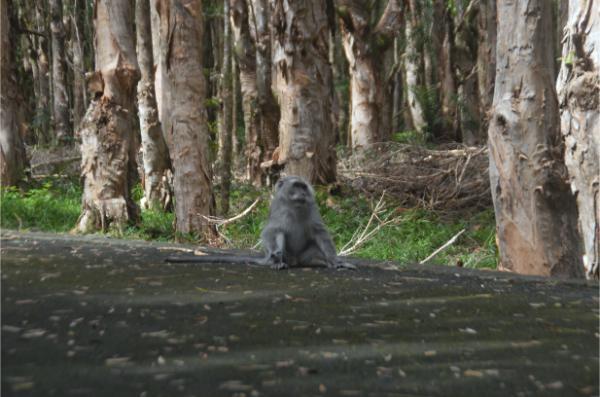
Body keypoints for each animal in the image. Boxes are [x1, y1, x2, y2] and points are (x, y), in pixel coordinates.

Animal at [165, 176, 356, 270]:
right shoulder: (280, 212)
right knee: (279, 238)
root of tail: (295, 261)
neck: (295, 206)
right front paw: (276, 254)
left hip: (303, 257)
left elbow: (320, 233)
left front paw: (335, 261)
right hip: (286, 256)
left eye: (304, 187)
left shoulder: (311, 207)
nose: (302, 193)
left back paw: (321, 262)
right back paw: (277, 262)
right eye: (297, 186)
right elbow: (272, 231)